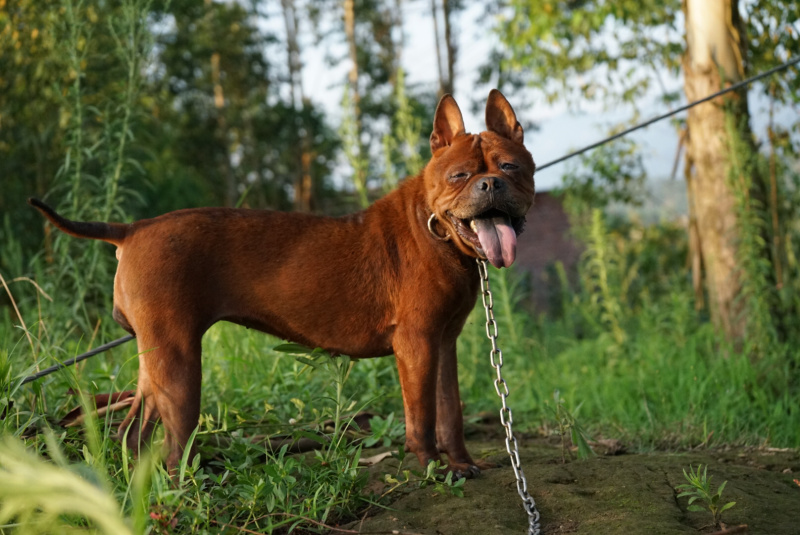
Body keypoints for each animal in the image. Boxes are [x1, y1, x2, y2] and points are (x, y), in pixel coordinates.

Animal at [29, 90, 536, 480]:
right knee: (173, 445)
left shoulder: (443, 344)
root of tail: (132, 228)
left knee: (132, 431)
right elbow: (423, 417)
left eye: (510, 168)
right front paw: (432, 468)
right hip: (179, 367)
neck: (437, 229)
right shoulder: (417, 346)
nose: (490, 184)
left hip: (155, 365)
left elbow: (451, 412)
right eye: (460, 175)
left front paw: (461, 464)